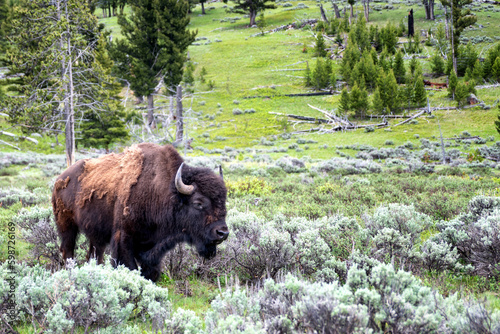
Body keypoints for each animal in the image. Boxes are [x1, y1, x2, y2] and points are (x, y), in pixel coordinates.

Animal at [51, 144, 229, 282]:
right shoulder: (124, 238)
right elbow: (130, 267)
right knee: (68, 250)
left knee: (94, 253)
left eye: (223, 200)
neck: (161, 191)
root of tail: (61, 178)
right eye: (198, 203)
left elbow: (151, 272)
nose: (222, 233)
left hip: (95, 234)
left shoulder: (153, 246)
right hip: (67, 226)